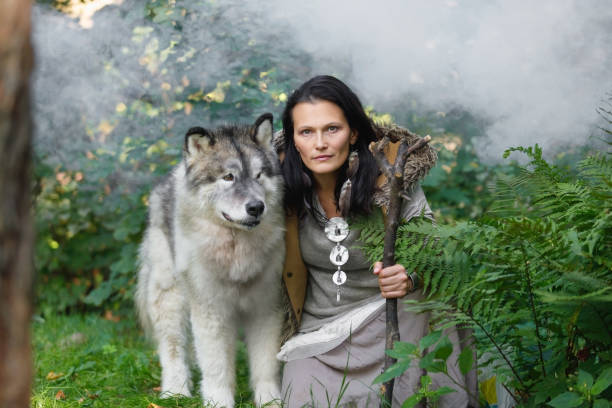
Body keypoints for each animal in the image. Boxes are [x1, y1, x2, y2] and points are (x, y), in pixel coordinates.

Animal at [136, 113, 284, 406]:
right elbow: (216, 366)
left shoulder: (265, 308)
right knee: (172, 349)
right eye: (228, 177)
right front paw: (219, 401)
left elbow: (265, 364)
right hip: (170, 296)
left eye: (259, 175)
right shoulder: (211, 311)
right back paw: (175, 390)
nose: (256, 207)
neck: (236, 250)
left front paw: (270, 401)